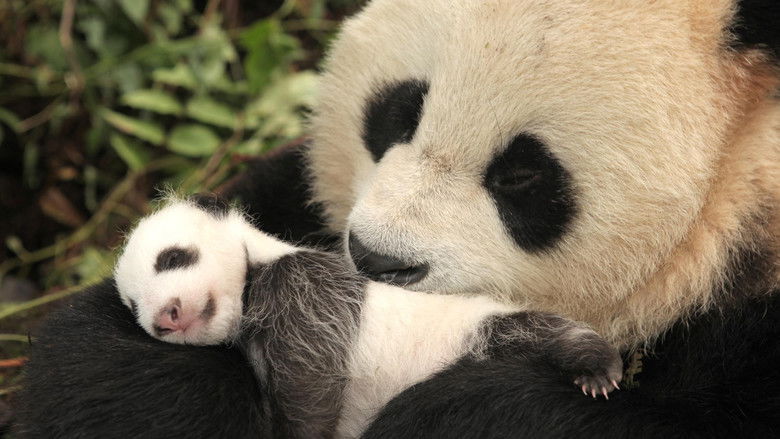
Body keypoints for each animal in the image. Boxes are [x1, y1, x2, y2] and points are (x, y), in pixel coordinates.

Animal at [112, 195, 621, 437]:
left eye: (172, 258)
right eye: (134, 308)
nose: (166, 317)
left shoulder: (308, 291)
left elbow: (311, 385)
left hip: (476, 333)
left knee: (535, 333)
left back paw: (595, 367)